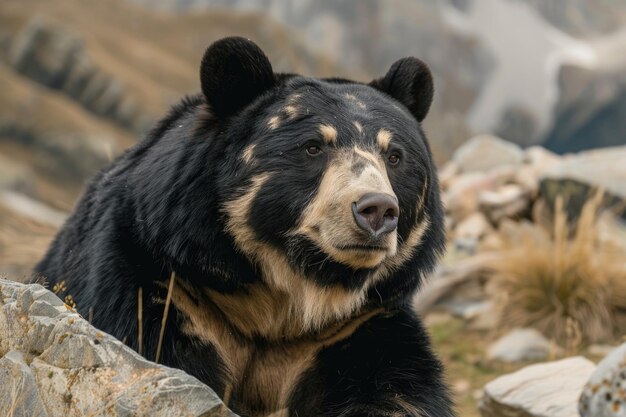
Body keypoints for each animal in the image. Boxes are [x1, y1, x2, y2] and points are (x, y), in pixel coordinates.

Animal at [33, 36, 454, 416]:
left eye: (394, 156)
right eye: (313, 147)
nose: (377, 210)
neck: (283, 304)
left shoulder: (357, 326)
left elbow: (398, 389)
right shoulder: (163, 281)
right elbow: (143, 342)